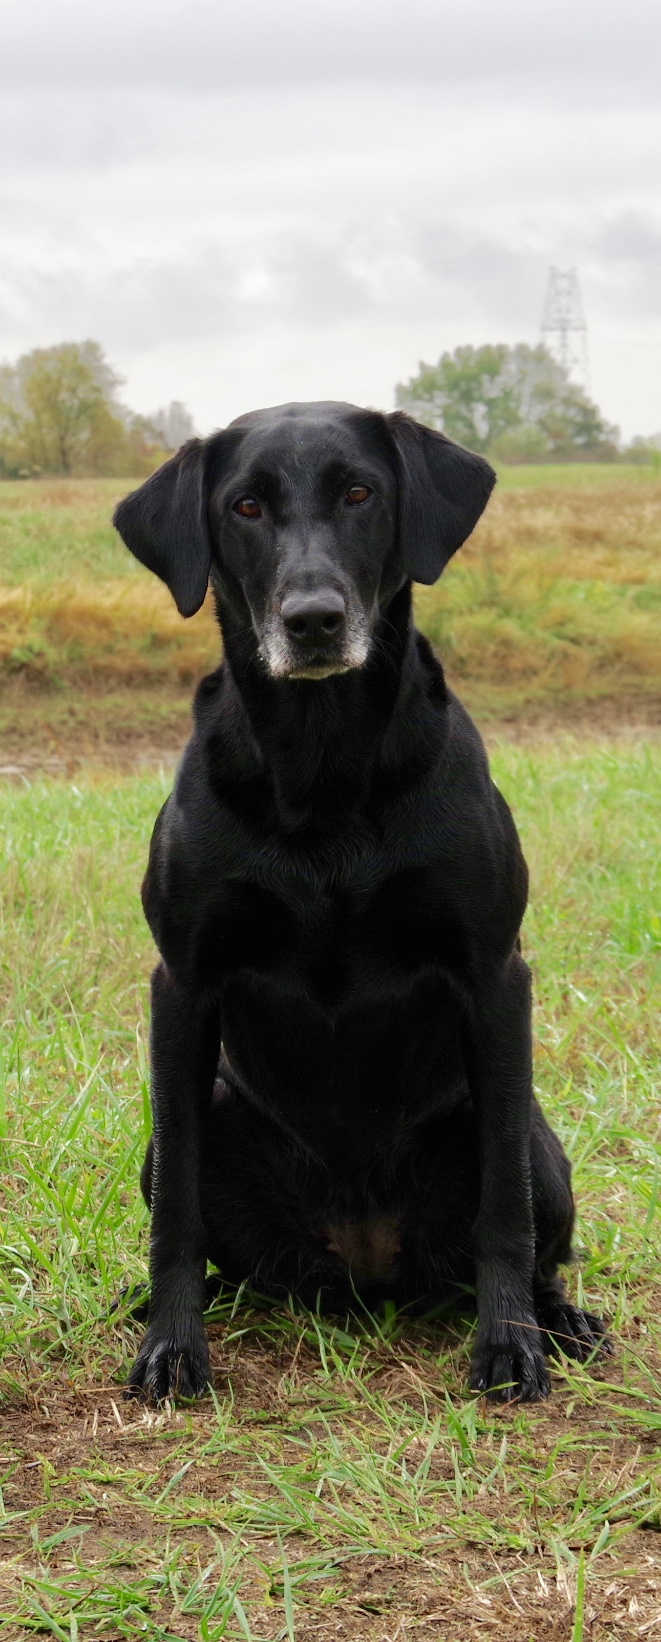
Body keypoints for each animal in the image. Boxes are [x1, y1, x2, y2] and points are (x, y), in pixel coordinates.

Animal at [112, 403, 606, 1405]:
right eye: (245, 505)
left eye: (358, 492)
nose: (312, 621)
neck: (322, 763)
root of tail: (366, 1262)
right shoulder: (181, 982)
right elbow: (176, 1214)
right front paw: (171, 1345)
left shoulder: (494, 975)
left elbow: (503, 1212)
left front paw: (508, 1344)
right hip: (207, 1113)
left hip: (536, 1138)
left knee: (530, 1222)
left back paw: (558, 1320)